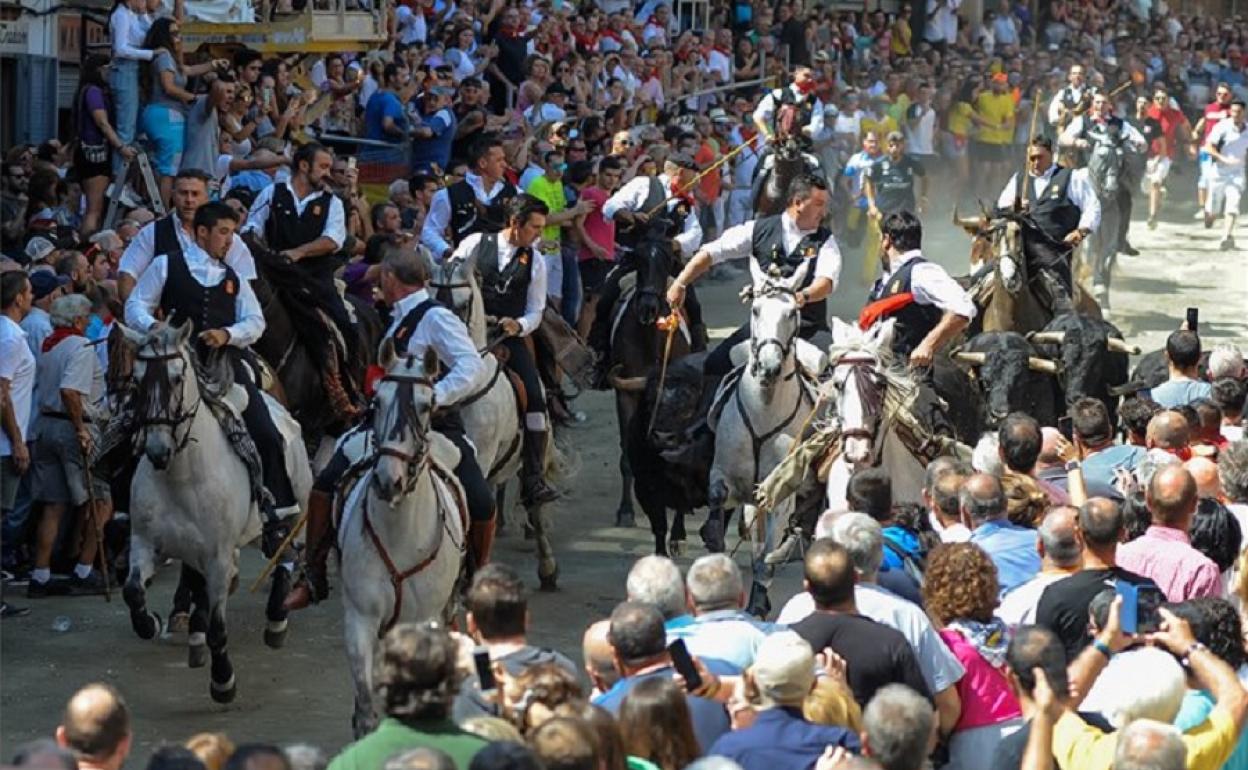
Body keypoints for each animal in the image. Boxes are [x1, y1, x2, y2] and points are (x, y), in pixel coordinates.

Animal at [117, 321, 312, 703]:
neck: (181, 475)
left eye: (177, 377)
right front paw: (153, 622)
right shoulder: (145, 543)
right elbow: (133, 591)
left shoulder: (219, 556)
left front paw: (223, 681)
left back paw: (276, 618)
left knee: (286, 553)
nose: (157, 450)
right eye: (137, 379)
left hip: (295, 511)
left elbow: (219, 630)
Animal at [341, 341, 469, 733]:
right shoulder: (361, 619)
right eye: (377, 402)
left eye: (427, 405)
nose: (389, 481)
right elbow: (366, 705)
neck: (399, 535)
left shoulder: (425, 620)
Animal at [708, 285, 813, 616]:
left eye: (792, 312)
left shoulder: (779, 493)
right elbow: (717, 497)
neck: (763, 410)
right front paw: (712, 538)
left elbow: (765, 559)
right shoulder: (725, 475)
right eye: (755, 309)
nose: (769, 367)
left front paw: (756, 603)